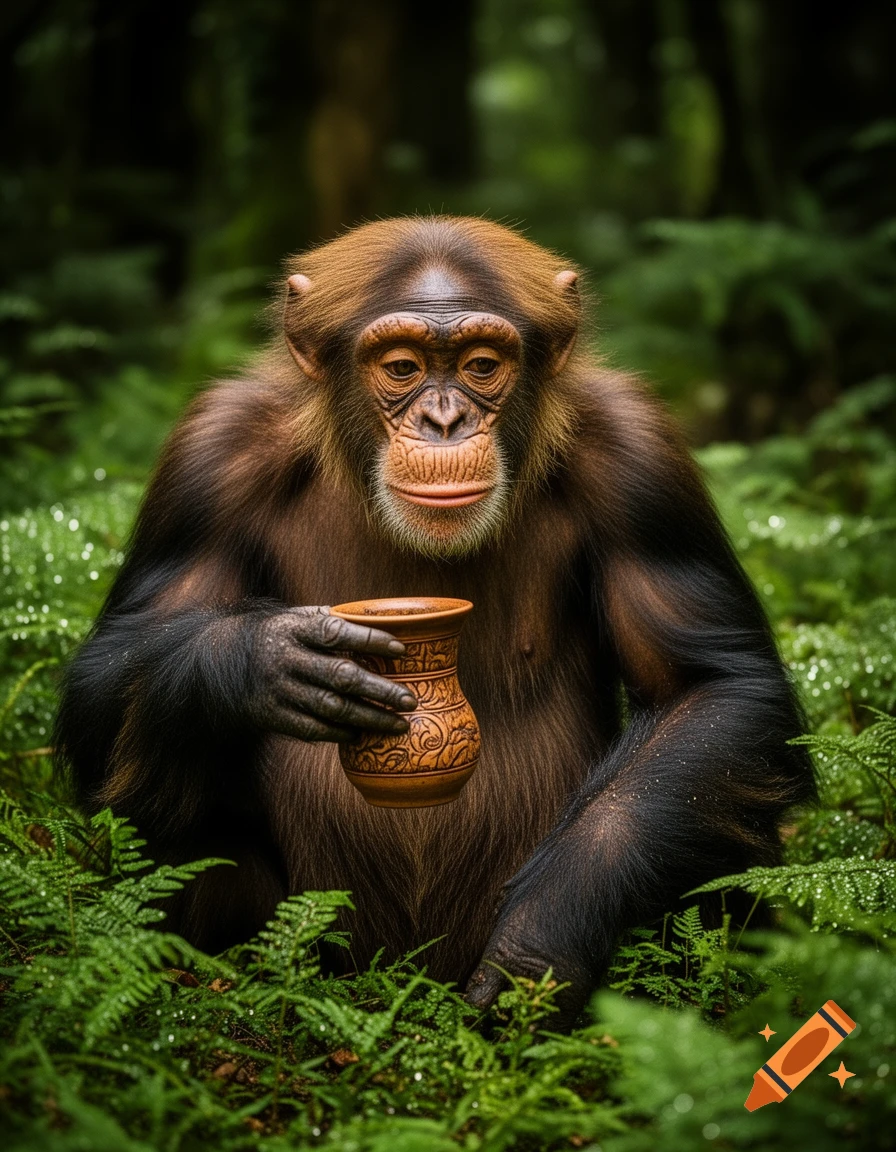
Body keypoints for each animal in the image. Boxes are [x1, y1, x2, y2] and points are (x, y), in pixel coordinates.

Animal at [56, 216, 814, 1026]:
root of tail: (407, 984)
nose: (444, 418)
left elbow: (708, 687)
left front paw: (542, 937)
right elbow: (112, 664)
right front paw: (257, 659)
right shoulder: (207, 458)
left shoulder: (641, 460)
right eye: (401, 366)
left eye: (481, 365)